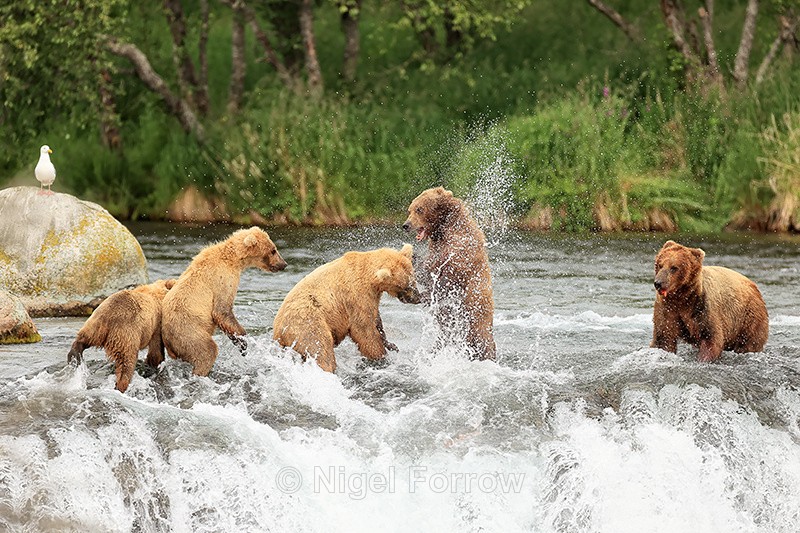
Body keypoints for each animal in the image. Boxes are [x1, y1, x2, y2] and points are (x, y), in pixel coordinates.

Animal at [162, 226, 287, 376]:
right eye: (273, 250)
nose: (284, 264)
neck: (234, 259)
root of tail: (167, 340)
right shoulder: (223, 279)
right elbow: (222, 311)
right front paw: (243, 342)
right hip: (188, 331)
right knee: (206, 351)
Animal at [272, 244, 420, 373]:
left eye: (413, 280)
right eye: (405, 286)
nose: (417, 298)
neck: (370, 278)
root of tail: (278, 332)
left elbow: (375, 319)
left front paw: (391, 344)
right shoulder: (356, 295)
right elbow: (364, 330)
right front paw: (380, 356)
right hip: (307, 324)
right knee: (321, 350)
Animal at [402, 187, 496, 361]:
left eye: (420, 209)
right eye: (409, 210)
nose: (406, 225)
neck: (444, 230)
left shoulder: (460, 250)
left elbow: (445, 280)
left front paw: (422, 295)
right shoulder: (436, 250)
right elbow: (427, 271)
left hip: (477, 325)